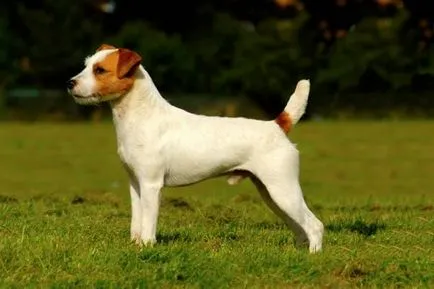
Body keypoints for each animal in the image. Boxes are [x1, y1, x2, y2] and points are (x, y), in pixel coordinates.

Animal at [68, 44, 324, 251]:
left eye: (100, 70)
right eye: (86, 65)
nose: (70, 83)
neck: (141, 116)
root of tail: (277, 125)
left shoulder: (151, 185)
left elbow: (148, 222)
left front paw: (147, 247)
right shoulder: (135, 184)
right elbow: (137, 221)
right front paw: (136, 245)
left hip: (282, 189)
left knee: (315, 225)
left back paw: (313, 256)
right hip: (271, 194)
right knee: (300, 227)